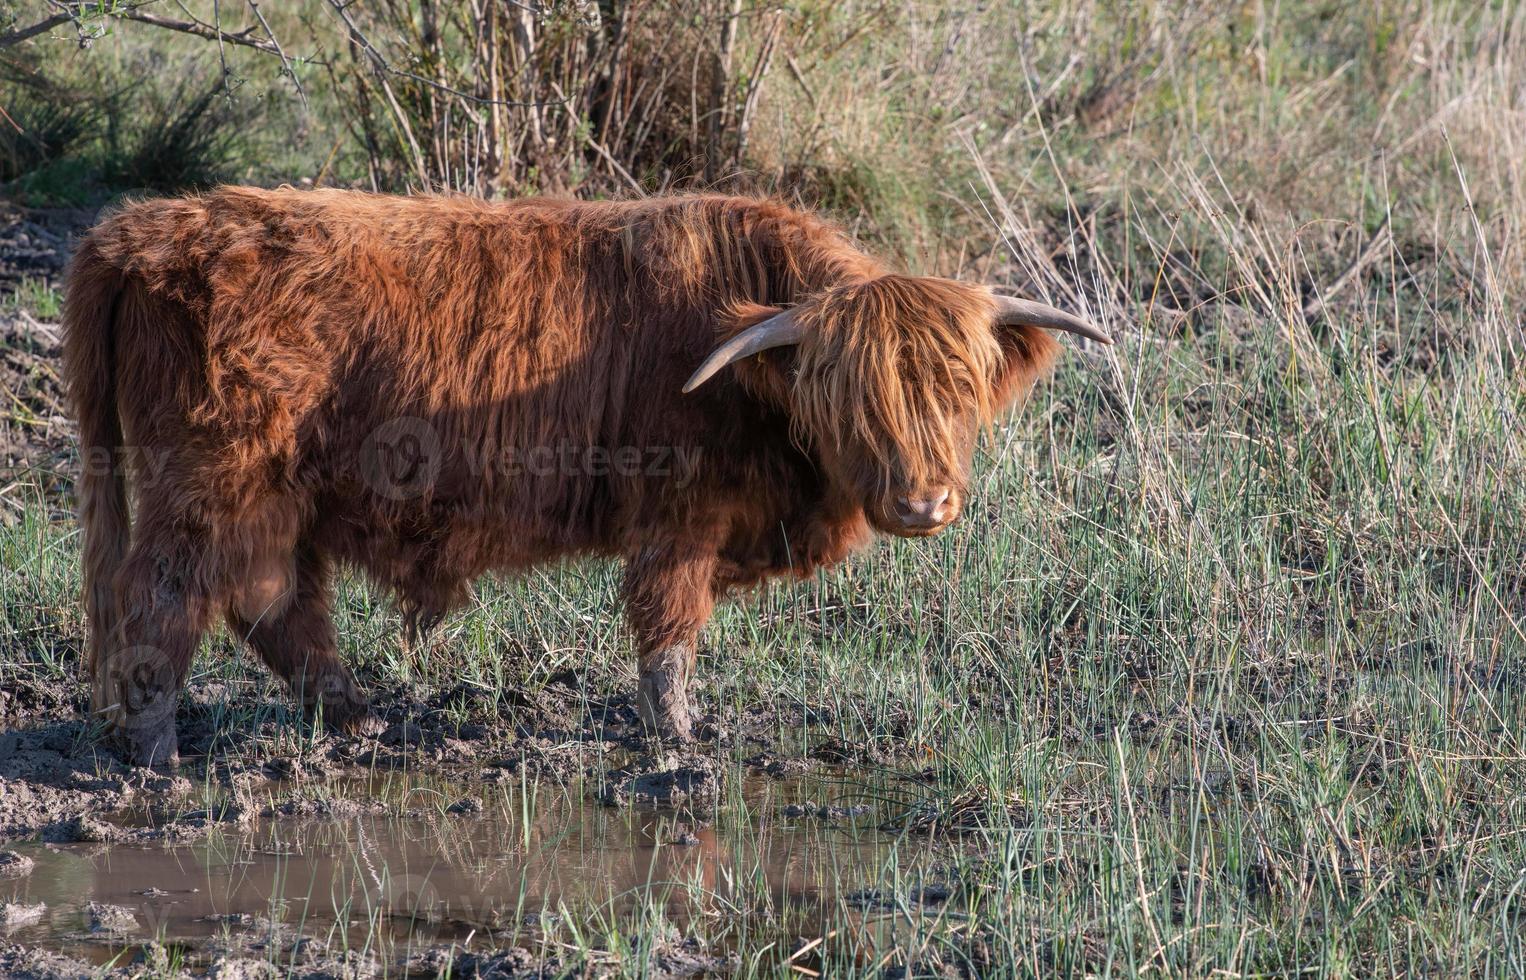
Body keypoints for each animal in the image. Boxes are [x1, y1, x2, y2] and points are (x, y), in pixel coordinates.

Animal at [62, 186, 1110, 760]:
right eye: (847, 395)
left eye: (960, 388)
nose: (923, 502)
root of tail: (139, 232)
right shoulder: (681, 517)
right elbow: (669, 633)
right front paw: (679, 741)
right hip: (211, 480)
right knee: (165, 597)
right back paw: (156, 755)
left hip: (273, 495)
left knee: (272, 599)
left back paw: (358, 720)